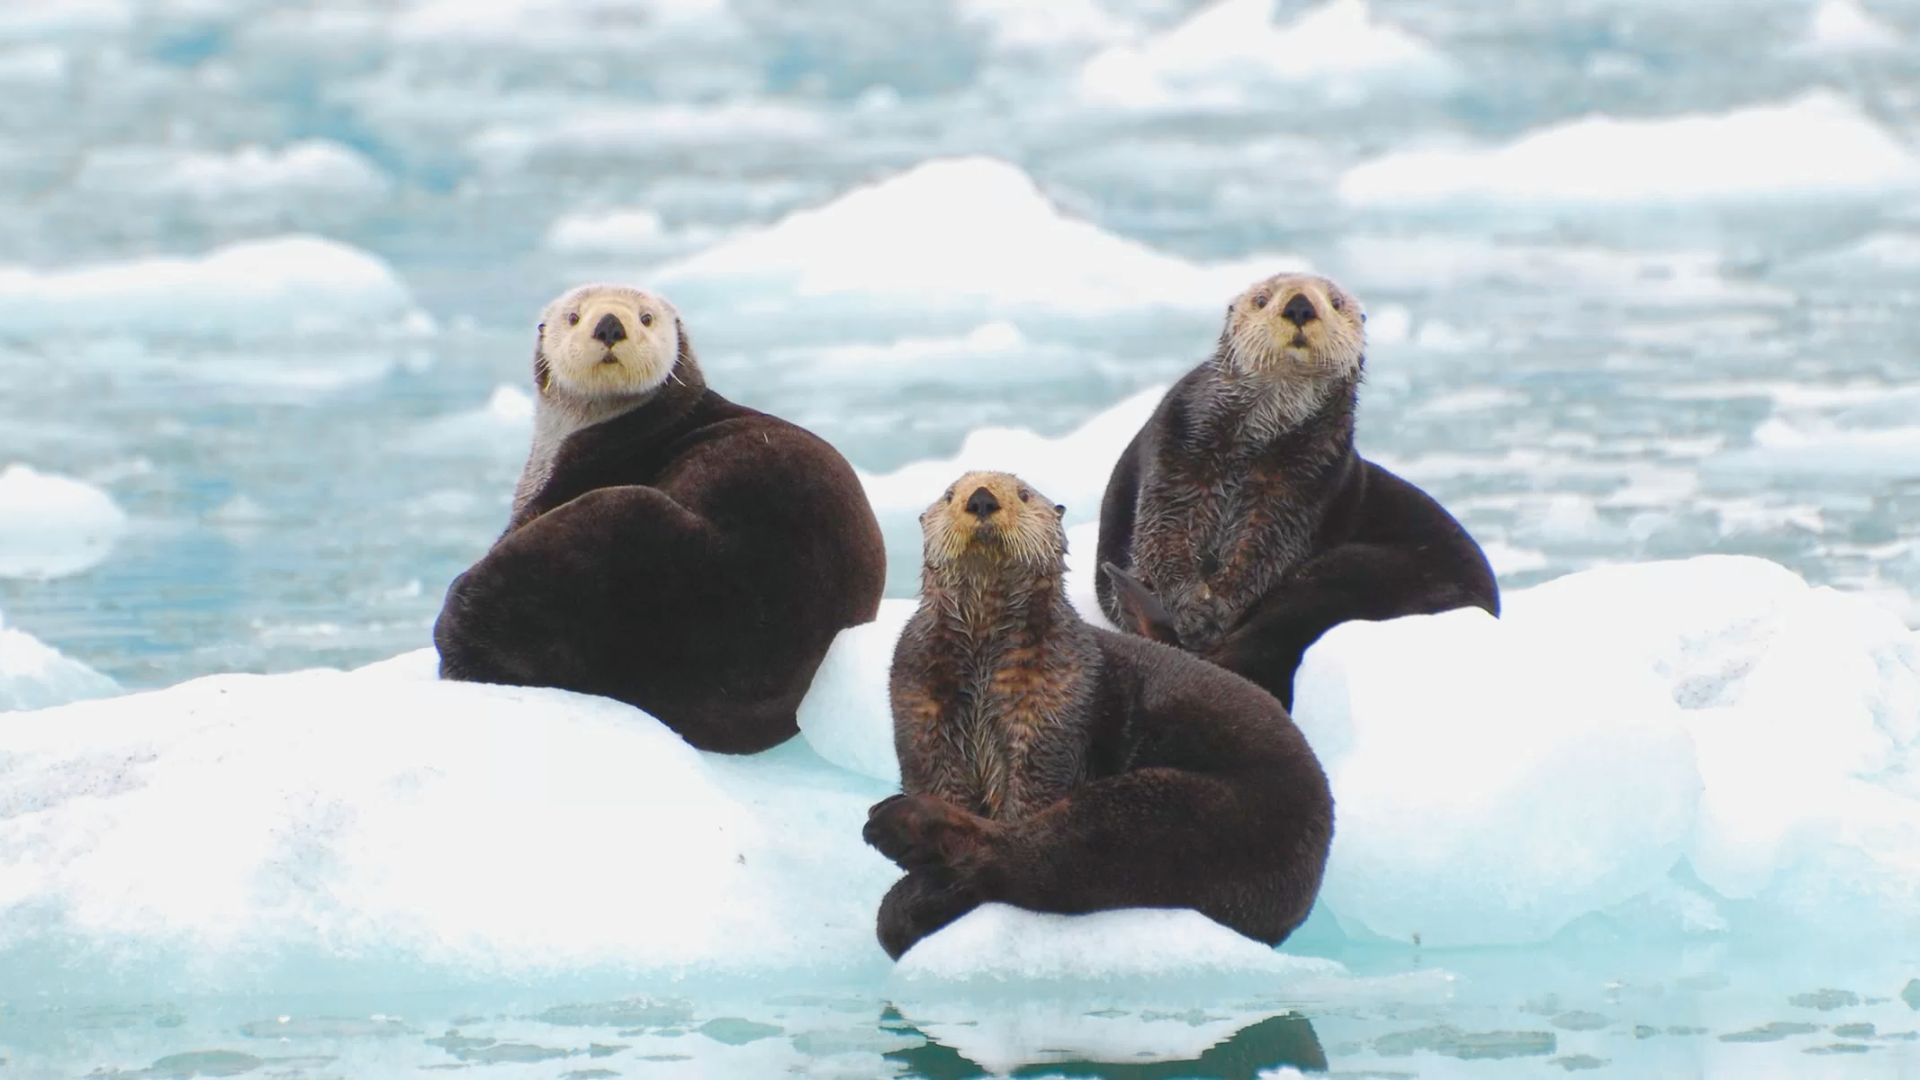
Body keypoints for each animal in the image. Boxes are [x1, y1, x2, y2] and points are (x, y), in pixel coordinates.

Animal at [865, 470, 1333, 959]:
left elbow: (1033, 788)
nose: (980, 500)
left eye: (1024, 494)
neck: (984, 661)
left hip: (1174, 811)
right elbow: (939, 774)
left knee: (1028, 856)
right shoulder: (920, 699)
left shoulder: (1053, 701)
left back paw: (898, 832)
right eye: (949, 494)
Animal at [1096, 273, 1498, 709]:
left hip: (1354, 576)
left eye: (1336, 302)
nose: (1301, 305)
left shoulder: (1305, 482)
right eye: (1261, 298)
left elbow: (1264, 552)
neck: (1254, 446)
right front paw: (1192, 608)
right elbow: (1164, 533)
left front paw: (1212, 610)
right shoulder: (1180, 452)